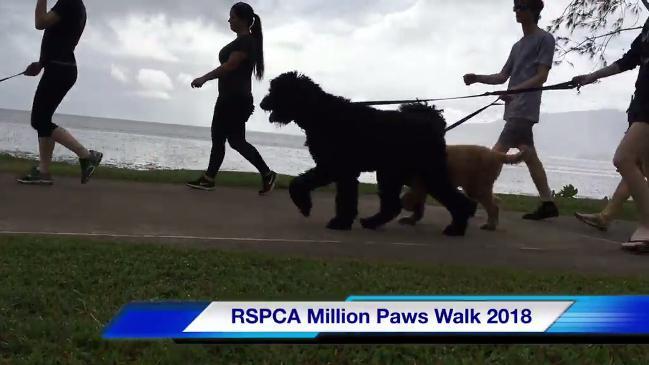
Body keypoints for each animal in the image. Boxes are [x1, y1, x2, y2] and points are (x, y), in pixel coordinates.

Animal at [258, 72, 476, 236]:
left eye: (278, 91)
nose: (262, 104)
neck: (321, 113)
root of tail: (434, 123)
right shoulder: (331, 168)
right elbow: (302, 183)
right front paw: (308, 207)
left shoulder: (337, 168)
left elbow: (340, 196)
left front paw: (338, 221)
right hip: (394, 173)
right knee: (392, 205)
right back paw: (372, 222)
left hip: (424, 172)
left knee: (455, 200)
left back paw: (456, 228)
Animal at [400, 145, 528, 230]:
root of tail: (496, 154)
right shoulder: (422, 186)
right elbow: (419, 205)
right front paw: (411, 219)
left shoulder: (419, 185)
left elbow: (411, 200)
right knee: (495, 201)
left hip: (477, 187)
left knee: (492, 206)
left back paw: (489, 225)